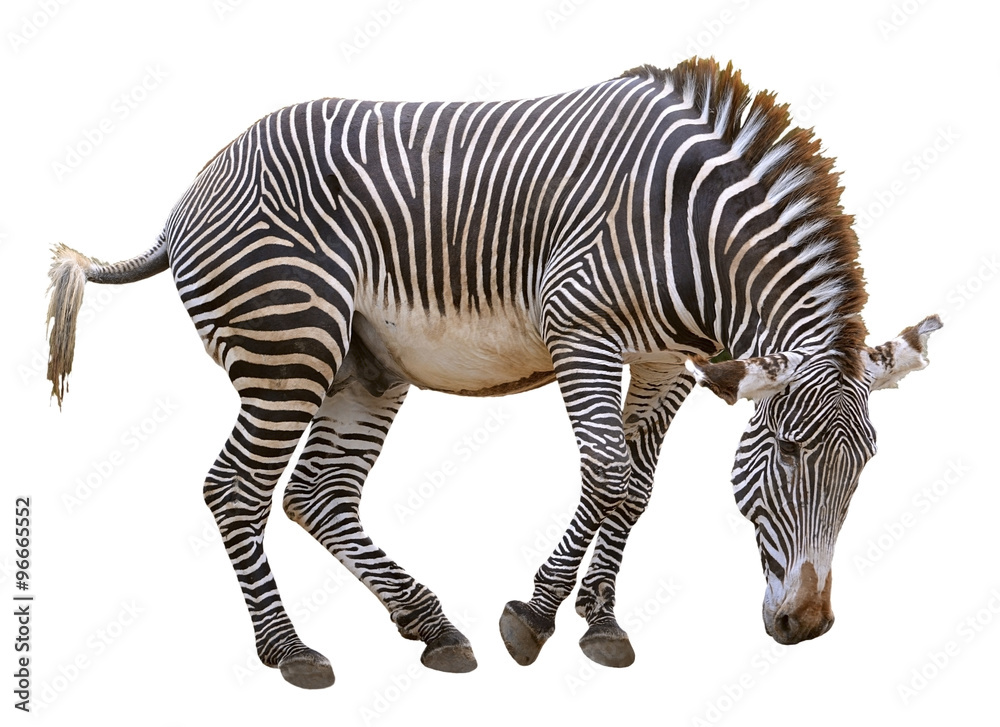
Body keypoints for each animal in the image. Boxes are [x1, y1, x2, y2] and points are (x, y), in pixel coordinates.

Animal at [46, 58, 940, 689]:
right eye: (787, 453)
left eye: (865, 467)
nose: (808, 626)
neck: (692, 228)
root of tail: (194, 186)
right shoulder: (581, 331)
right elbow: (607, 477)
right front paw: (536, 618)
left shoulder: (667, 362)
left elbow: (636, 490)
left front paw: (600, 621)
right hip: (288, 344)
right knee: (236, 487)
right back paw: (291, 649)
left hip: (364, 365)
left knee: (316, 494)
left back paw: (432, 626)